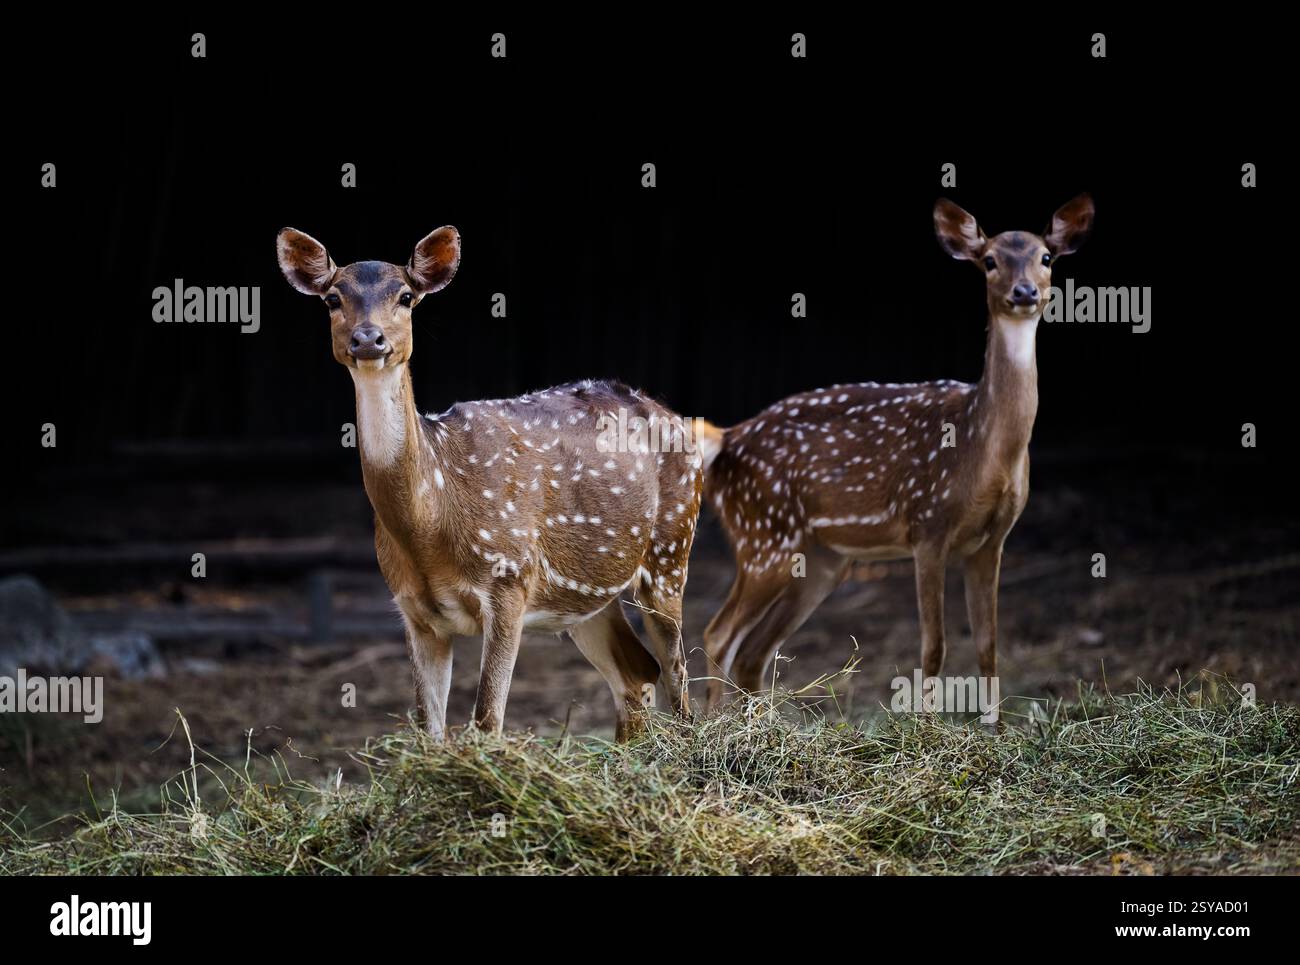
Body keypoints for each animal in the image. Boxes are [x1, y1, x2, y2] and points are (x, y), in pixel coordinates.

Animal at [276, 226, 702, 740]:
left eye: (406, 296)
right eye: (333, 299)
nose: (367, 338)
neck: (433, 522)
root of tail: (674, 415)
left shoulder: (509, 577)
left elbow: (486, 720)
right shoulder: (413, 609)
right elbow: (428, 731)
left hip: (671, 550)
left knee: (678, 682)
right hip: (587, 594)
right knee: (637, 673)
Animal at [697, 195, 1095, 719]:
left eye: (1046, 257)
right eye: (989, 260)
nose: (1025, 291)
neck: (984, 451)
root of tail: (726, 439)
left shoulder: (993, 539)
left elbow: (989, 644)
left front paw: (996, 728)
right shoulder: (927, 525)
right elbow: (934, 645)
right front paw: (927, 726)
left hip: (821, 559)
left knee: (753, 651)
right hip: (764, 536)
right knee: (718, 634)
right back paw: (710, 727)